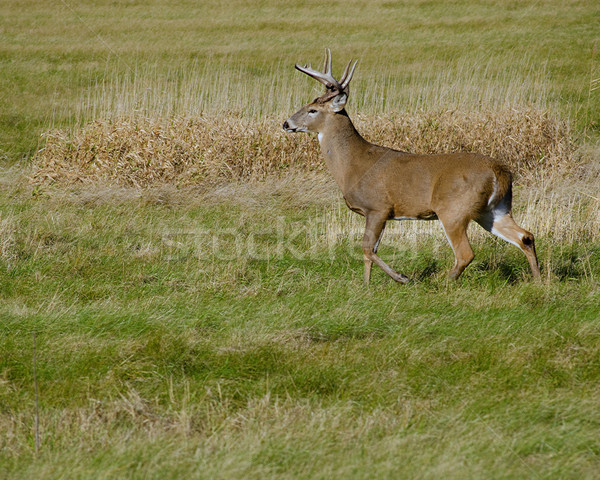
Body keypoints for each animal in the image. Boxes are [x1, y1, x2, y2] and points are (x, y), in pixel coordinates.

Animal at [284, 48, 540, 284]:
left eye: (312, 110)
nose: (286, 123)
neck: (353, 165)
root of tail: (501, 172)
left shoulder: (378, 207)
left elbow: (366, 248)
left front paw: (401, 277)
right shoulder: (379, 213)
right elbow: (369, 251)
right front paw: (366, 286)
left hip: (454, 209)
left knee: (465, 253)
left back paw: (442, 284)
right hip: (494, 210)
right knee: (525, 236)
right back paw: (539, 281)